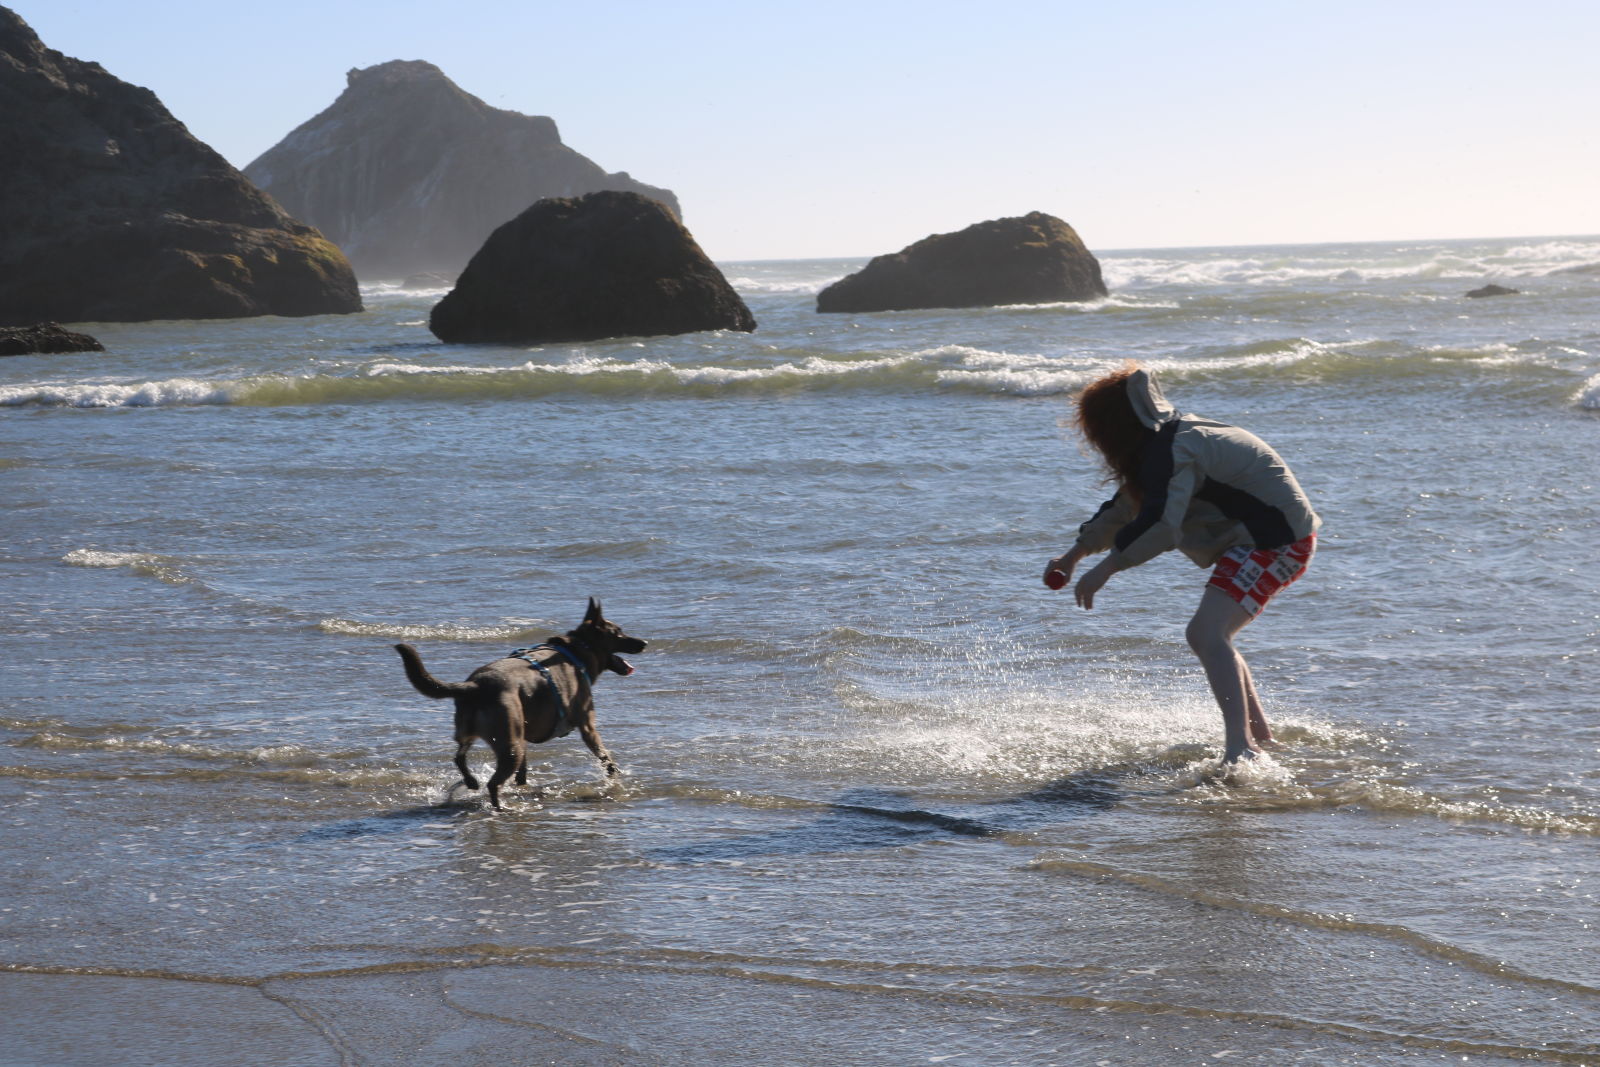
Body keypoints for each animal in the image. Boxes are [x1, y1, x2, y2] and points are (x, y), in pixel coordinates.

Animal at [396, 601, 646, 809]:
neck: (577, 650)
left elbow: (523, 771)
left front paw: (522, 782)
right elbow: (605, 758)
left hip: (472, 732)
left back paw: (472, 781)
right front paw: (614, 775)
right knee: (493, 783)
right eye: (618, 632)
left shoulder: (524, 731)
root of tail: (475, 685)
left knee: (459, 756)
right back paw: (500, 808)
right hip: (510, 745)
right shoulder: (588, 726)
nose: (644, 642)